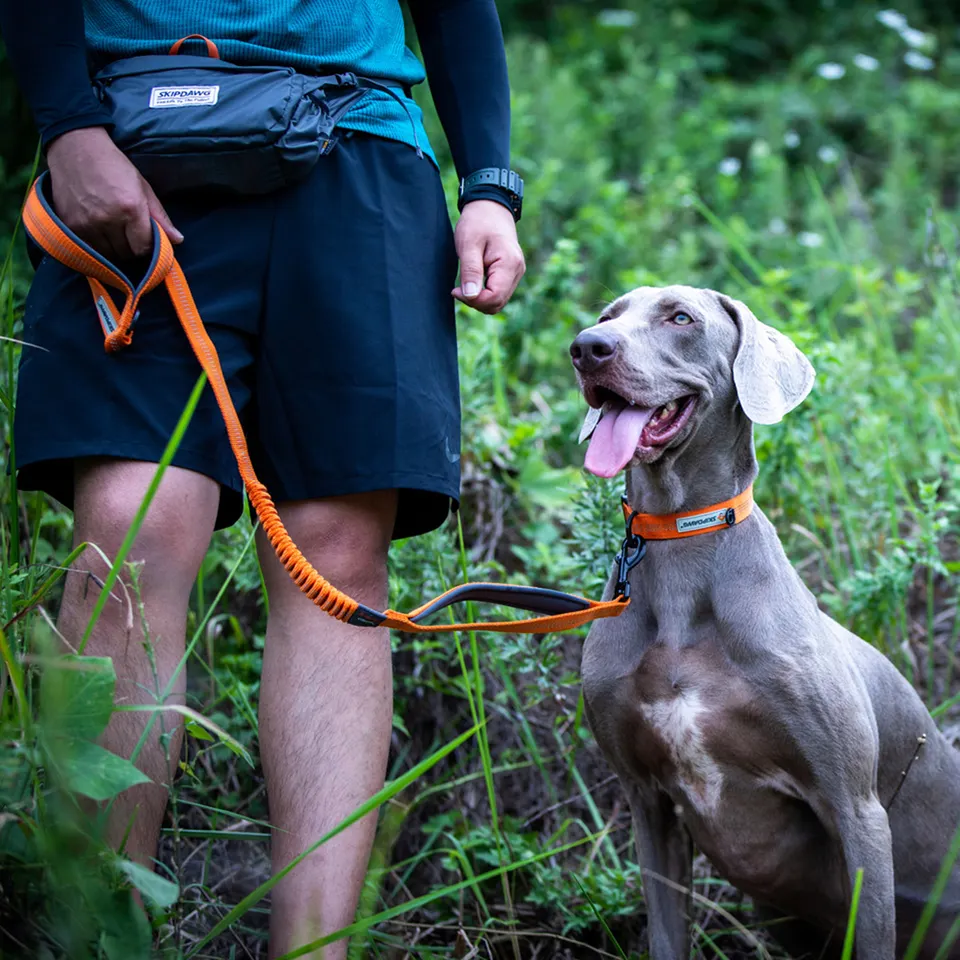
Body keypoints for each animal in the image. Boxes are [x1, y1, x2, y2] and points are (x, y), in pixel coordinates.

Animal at [568, 286, 960, 960]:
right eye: (606, 317)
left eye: (680, 317)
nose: (587, 348)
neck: (679, 543)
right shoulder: (646, 799)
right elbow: (666, 932)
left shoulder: (855, 807)